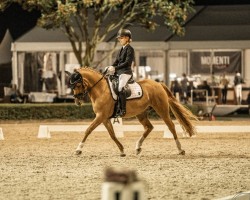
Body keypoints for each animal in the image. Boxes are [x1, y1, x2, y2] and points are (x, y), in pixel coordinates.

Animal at [67, 67, 197, 156]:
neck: (100, 89)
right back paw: (138, 147)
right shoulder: (104, 118)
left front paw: (78, 149)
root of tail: (158, 84)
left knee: (170, 126)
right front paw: (122, 150)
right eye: (71, 86)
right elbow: (112, 135)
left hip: (162, 109)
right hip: (141, 113)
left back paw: (180, 149)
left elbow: (88, 130)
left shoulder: (100, 116)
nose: (77, 101)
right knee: (149, 127)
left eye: (77, 84)